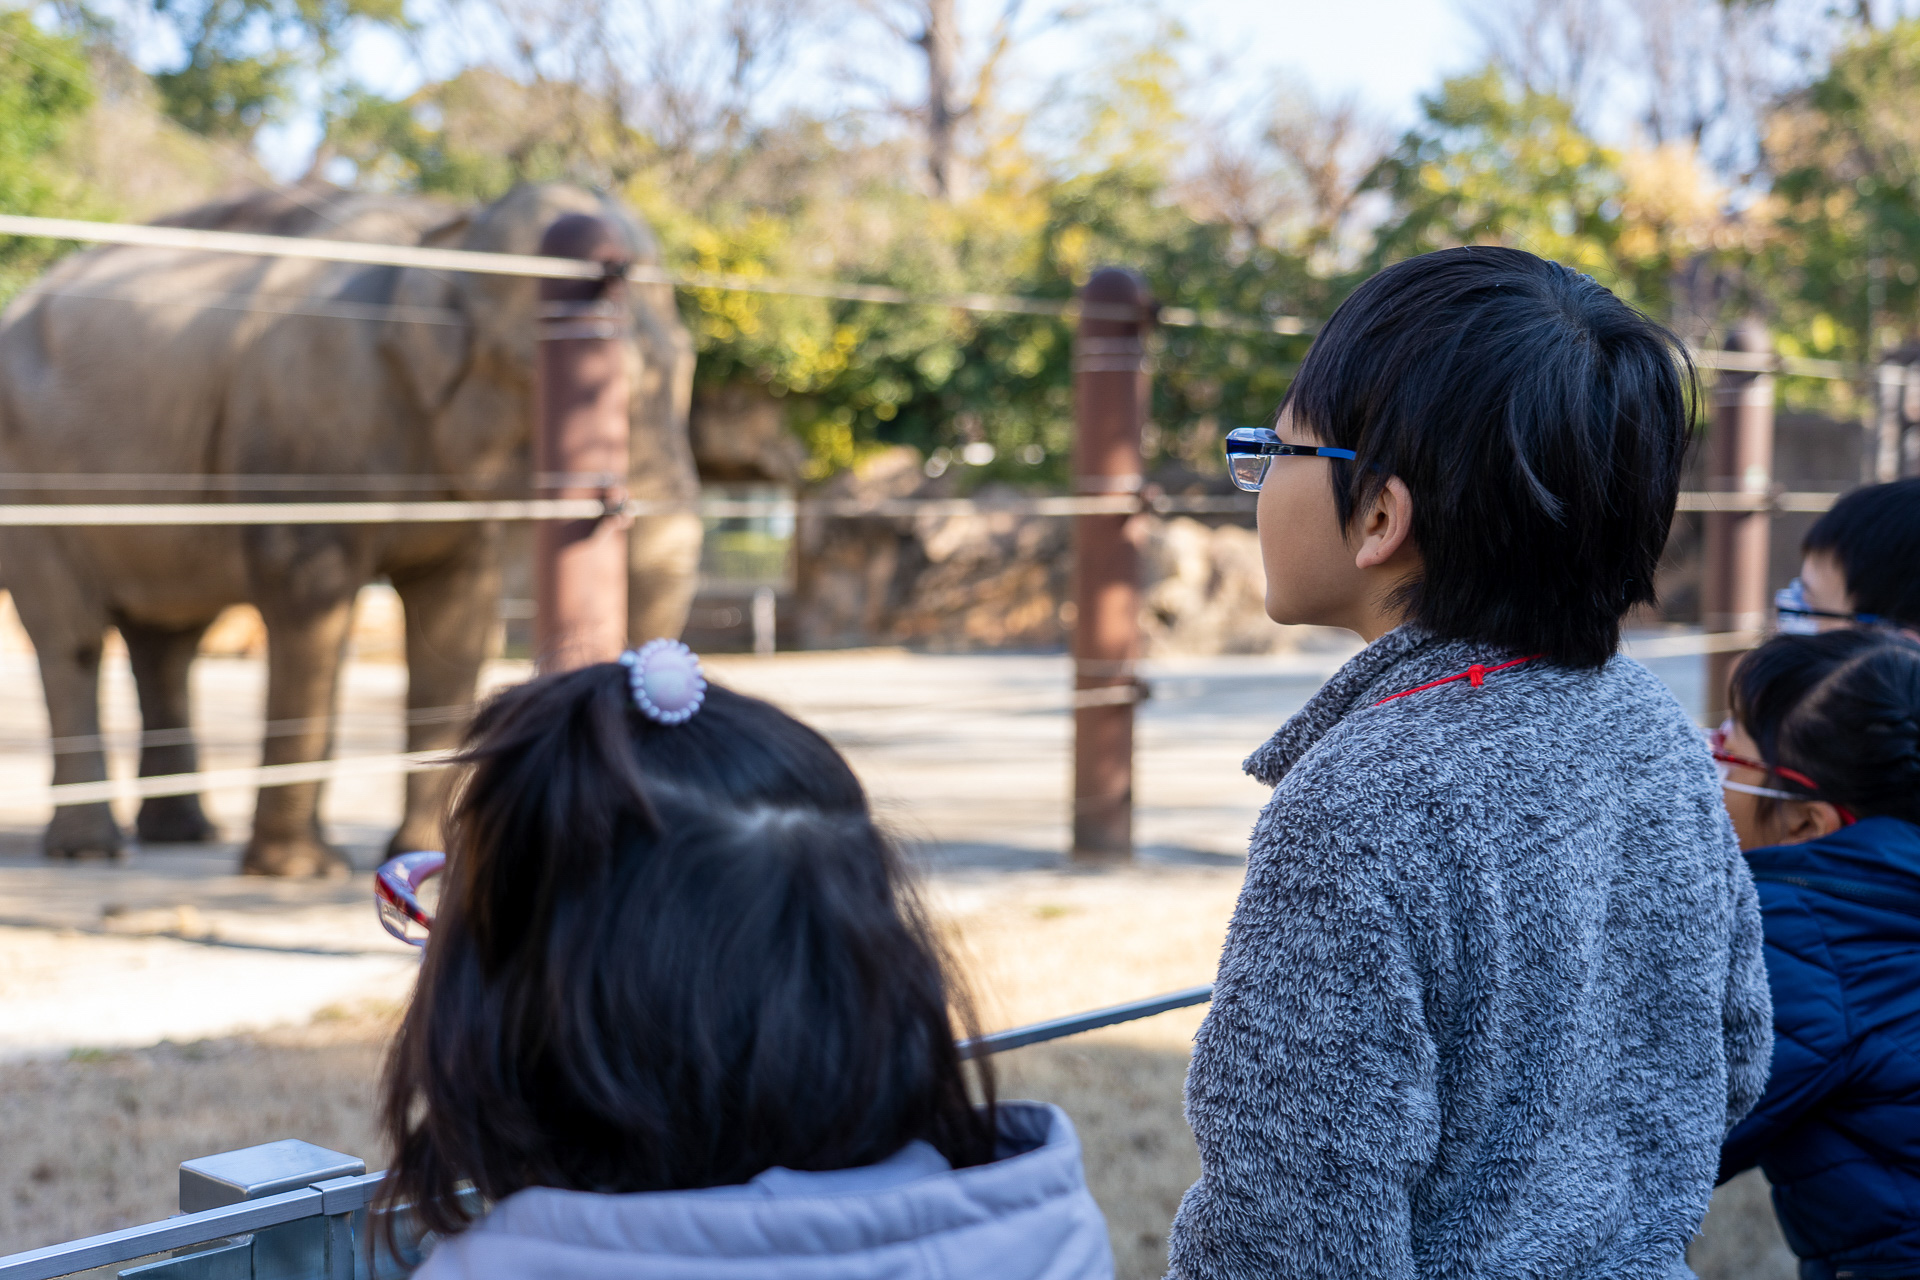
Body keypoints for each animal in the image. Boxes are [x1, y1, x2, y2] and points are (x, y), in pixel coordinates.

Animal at [0, 180, 706, 875]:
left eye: (690, 366)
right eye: (542, 379)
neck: (446, 235)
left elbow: (455, 624)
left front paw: (429, 859)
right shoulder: (306, 427)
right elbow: (309, 599)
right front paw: (302, 872)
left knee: (167, 643)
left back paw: (184, 836)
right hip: (30, 481)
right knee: (73, 638)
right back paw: (91, 850)